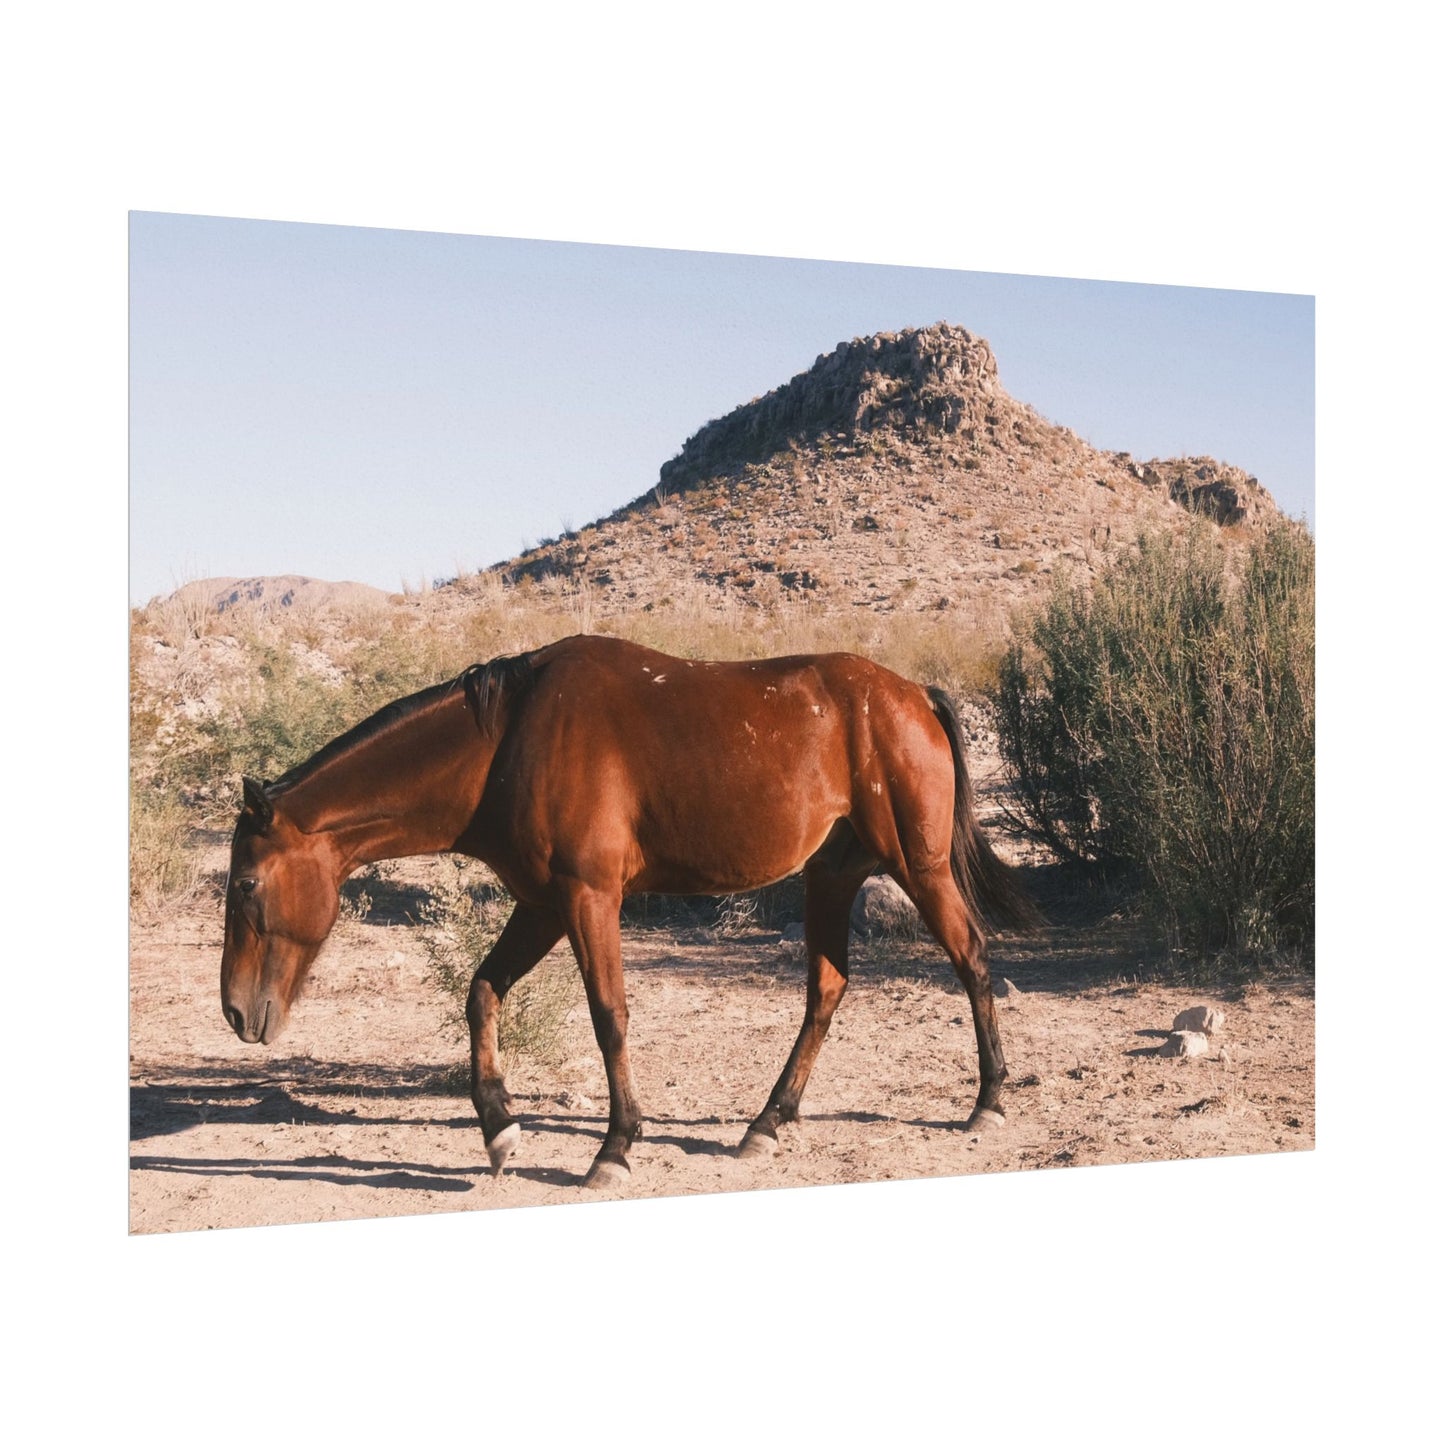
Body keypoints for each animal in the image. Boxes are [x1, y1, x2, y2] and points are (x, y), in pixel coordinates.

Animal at [220, 632, 1035, 1188]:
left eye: (246, 885)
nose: (234, 1012)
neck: (508, 741)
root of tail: (913, 694)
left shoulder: (587, 899)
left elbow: (608, 1014)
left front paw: (613, 1147)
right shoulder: (542, 904)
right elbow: (481, 992)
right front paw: (499, 1129)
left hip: (918, 868)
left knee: (971, 959)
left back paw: (988, 1101)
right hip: (831, 879)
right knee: (826, 991)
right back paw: (767, 1122)